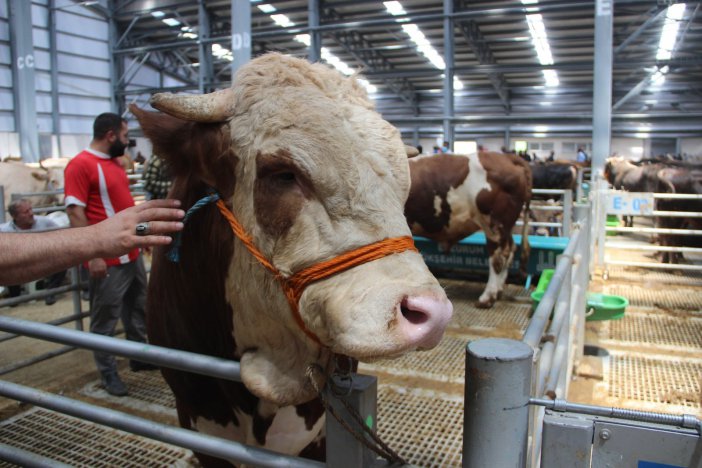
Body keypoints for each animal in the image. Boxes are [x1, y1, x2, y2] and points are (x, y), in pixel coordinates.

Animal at [408, 152, 532, 308]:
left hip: (494, 226)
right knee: (510, 251)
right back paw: (498, 292)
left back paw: (487, 298)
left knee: (498, 257)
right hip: (506, 228)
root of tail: (507, 157)